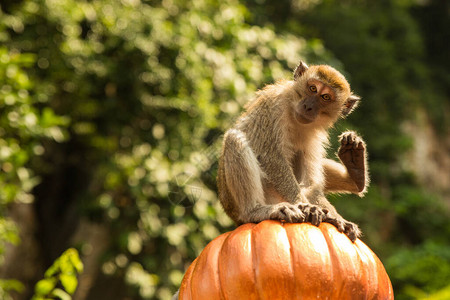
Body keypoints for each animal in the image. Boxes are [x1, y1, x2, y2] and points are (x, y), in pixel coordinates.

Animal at [215, 60, 370, 241]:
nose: (308, 106)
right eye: (312, 88)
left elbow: (312, 183)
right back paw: (255, 211)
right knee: (234, 139)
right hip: (234, 200)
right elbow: (272, 158)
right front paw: (306, 206)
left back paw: (356, 172)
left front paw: (334, 217)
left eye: (325, 97)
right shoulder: (273, 106)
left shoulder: (314, 136)